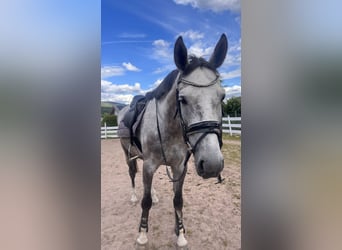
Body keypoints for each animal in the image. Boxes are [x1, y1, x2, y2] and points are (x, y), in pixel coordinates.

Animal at [117, 33, 227, 248]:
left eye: (222, 97)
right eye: (182, 99)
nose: (212, 164)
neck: (171, 129)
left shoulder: (179, 167)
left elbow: (177, 200)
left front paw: (180, 233)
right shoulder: (149, 165)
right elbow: (145, 202)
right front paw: (142, 234)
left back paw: (155, 195)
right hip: (128, 154)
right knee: (132, 174)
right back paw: (133, 196)